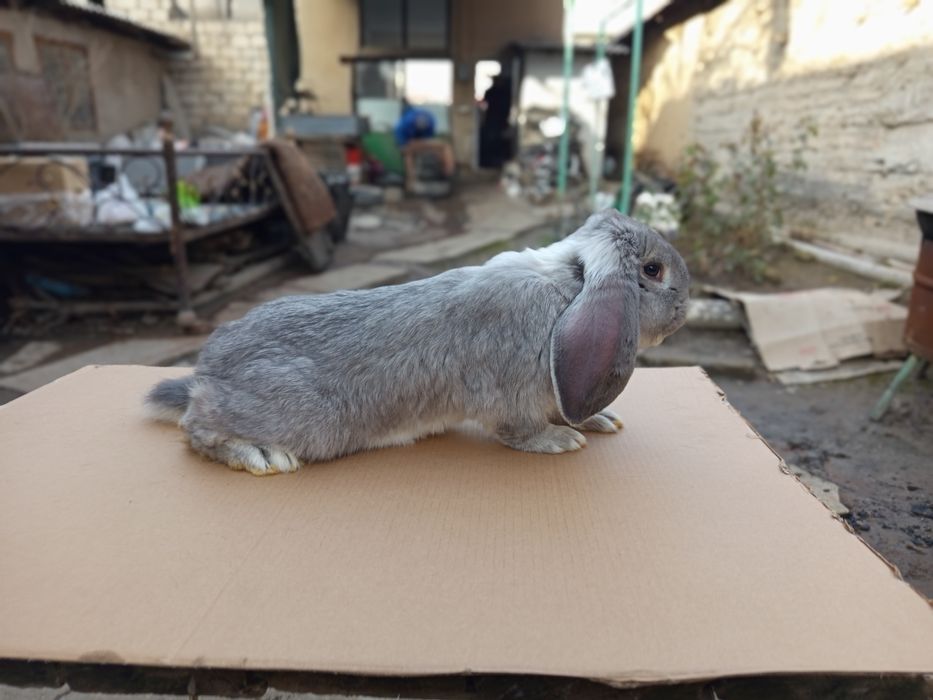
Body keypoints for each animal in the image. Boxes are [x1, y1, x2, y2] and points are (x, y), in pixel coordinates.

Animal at [145, 209, 690, 475]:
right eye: (652, 270)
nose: (685, 308)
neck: (566, 293)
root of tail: (204, 374)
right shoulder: (511, 398)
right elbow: (521, 431)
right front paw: (561, 441)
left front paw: (600, 419)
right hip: (293, 417)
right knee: (195, 430)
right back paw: (259, 456)